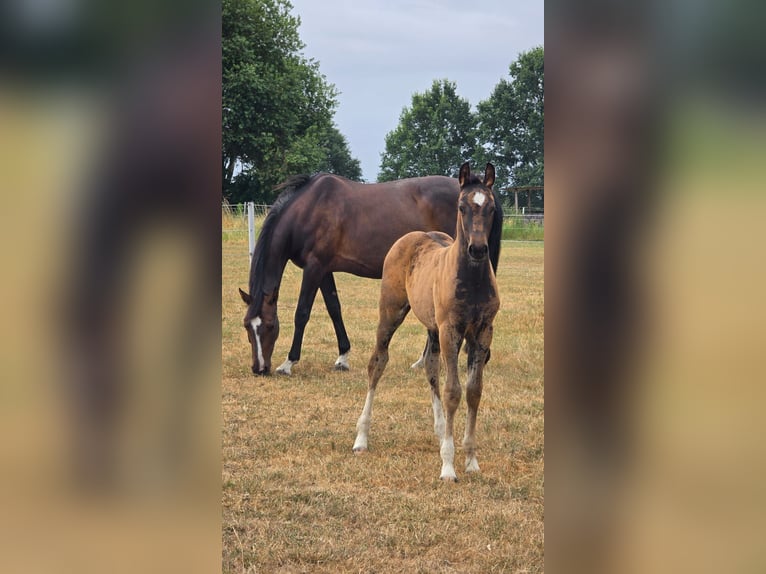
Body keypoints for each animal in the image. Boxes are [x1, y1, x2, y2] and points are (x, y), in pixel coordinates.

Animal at [238, 171, 503, 375]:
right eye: (247, 327)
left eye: (269, 326)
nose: (259, 369)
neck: (308, 209)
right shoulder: (324, 270)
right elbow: (334, 309)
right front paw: (342, 358)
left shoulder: (314, 268)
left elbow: (302, 313)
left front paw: (288, 363)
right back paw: (422, 361)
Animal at [352, 162, 500, 482]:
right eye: (461, 207)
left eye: (492, 207)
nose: (478, 249)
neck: (471, 279)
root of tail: (409, 237)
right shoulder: (450, 331)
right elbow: (453, 392)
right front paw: (448, 467)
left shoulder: (482, 332)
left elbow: (473, 391)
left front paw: (471, 460)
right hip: (391, 312)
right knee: (377, 363)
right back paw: (361, 438)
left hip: (432, 329)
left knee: (431, 370)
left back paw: (441, 431)